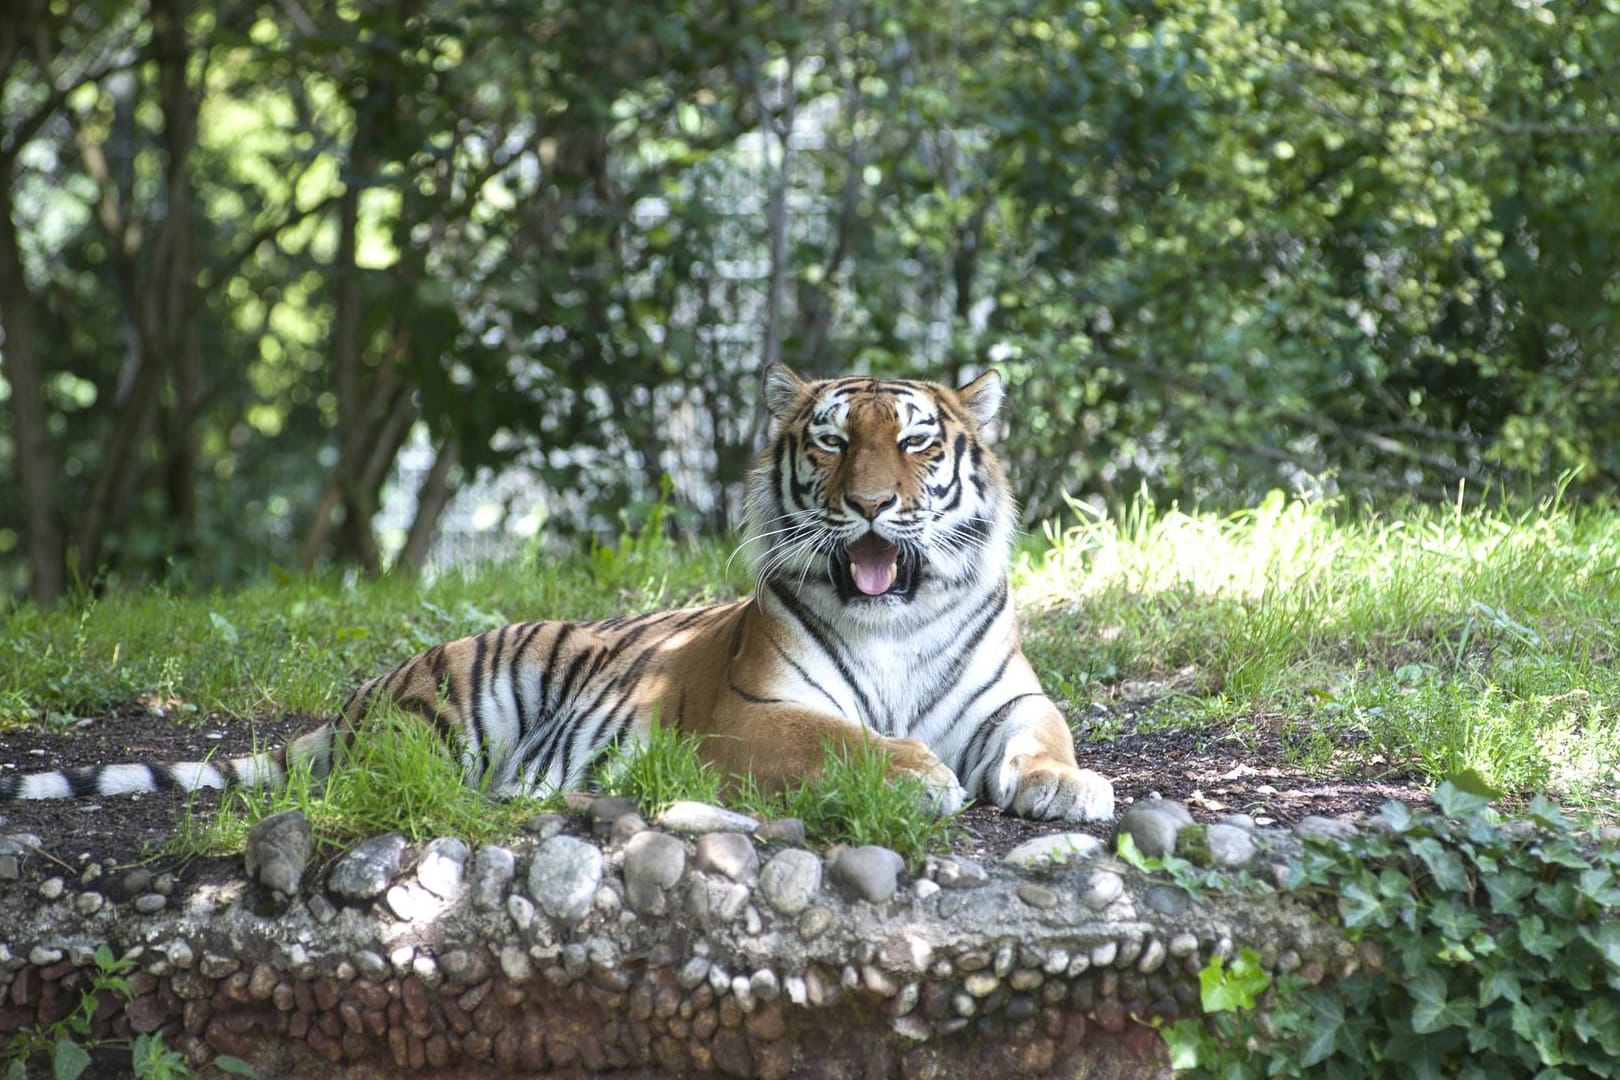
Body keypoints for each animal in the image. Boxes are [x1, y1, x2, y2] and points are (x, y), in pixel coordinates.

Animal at [0, 367, 1114, 822]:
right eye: (835, 441)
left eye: (917, 442)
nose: (874, 504)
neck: (896, 618)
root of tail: (361, 696)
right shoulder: (750, 714)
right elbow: (839, 740)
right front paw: (915, 773)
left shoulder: (1008, 699)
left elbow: (1045, 738)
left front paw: (1071, 787)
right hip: (453, 708)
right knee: (384, 782)